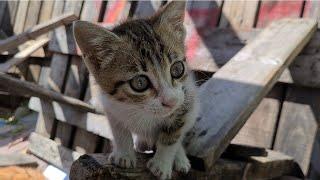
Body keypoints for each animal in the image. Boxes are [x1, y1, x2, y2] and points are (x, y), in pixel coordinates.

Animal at [73, 1, 198, 179]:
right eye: (140, 82)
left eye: (177, 69)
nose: (171, 102)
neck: (139, 108)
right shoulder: (110, 105)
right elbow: (119, 129)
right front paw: (124, 155)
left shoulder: (185, 101)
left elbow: (173, 135)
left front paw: (162, 164)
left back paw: (180, 158)